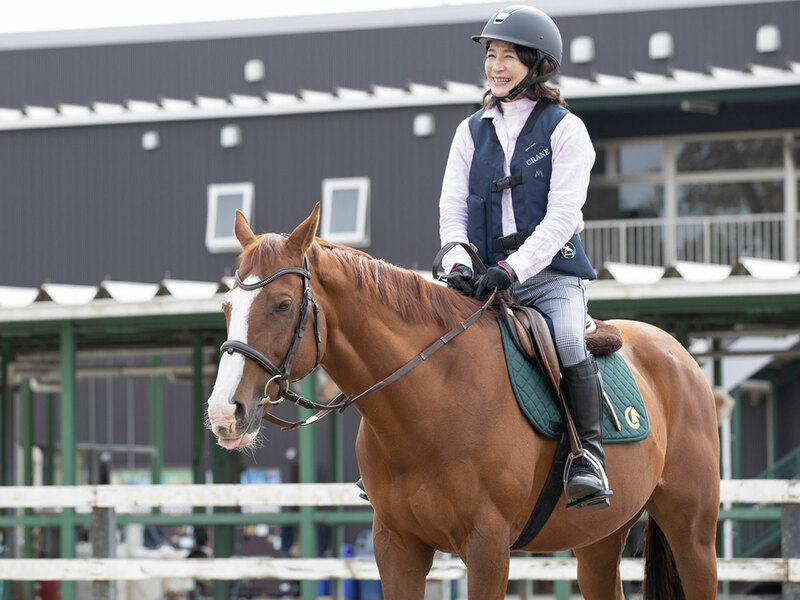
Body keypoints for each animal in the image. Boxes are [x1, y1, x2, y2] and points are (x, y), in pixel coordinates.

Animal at [205, 204, 720, 596]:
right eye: (228, 307)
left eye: (283, 304)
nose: (224, 412)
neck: (432, 402)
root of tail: (678, 354)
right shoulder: (396, 547)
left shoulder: (487, 548)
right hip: (598, 540)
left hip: (693, 535)